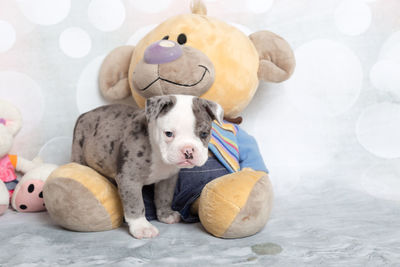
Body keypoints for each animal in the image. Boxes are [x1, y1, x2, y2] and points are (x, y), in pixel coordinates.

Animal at [70, 95, 223, 240]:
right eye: (168, 133)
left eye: (204, 134)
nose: (188, 151)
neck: (158, 152)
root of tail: (84, 114)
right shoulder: (129, 179)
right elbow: (135, 204)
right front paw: (142, 227)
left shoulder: (168, 179)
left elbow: (164, 197)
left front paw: (165, 214)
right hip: (79, 147)